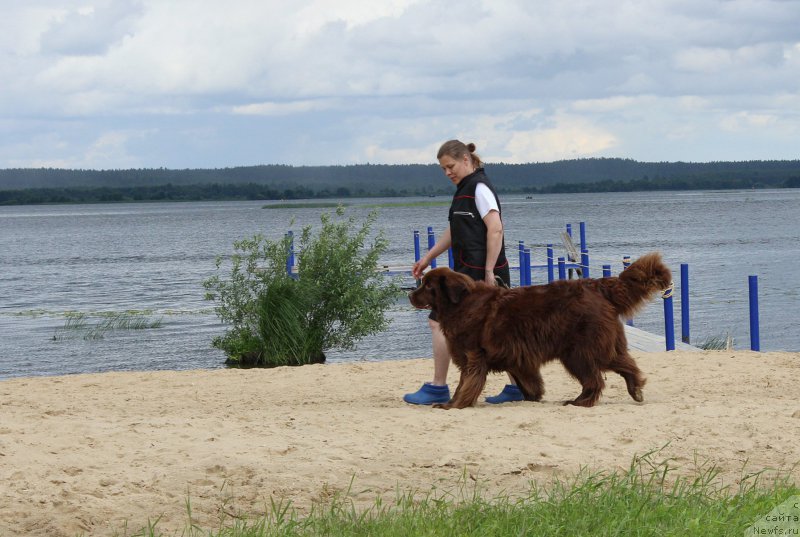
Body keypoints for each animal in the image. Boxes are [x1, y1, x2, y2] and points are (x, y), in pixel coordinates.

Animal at [410, 251, 672, 406]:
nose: (411, 295)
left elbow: (465, 384)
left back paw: (579, 402)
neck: (462, 304)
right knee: (625, 363)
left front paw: (453, 405)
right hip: (595, 347)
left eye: (428, 286)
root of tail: (597, 286)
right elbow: (528, 381)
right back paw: (635, 389)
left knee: (595, 379)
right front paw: (533, 397)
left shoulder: (473, 356)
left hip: (579, 352)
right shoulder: (517, 356)